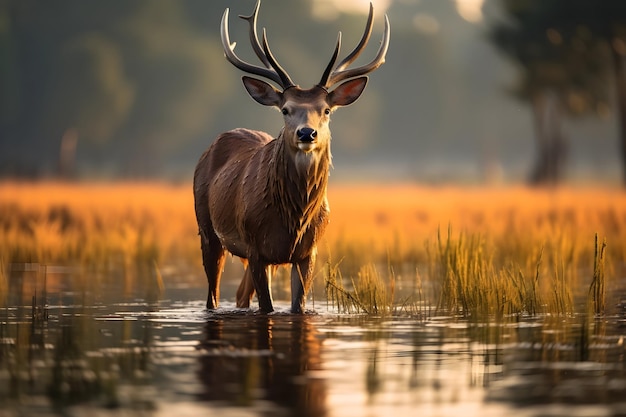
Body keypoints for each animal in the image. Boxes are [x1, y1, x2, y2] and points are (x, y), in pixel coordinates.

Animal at [193, 0, 388, 312]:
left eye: (326, 110)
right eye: (285, 109)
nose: (307, 133)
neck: (293, 219)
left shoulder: (308, 252)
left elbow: (298, 305)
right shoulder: (255, 246)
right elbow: (267, 307)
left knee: (240, 296)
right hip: (207, 229)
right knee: (212, 295)